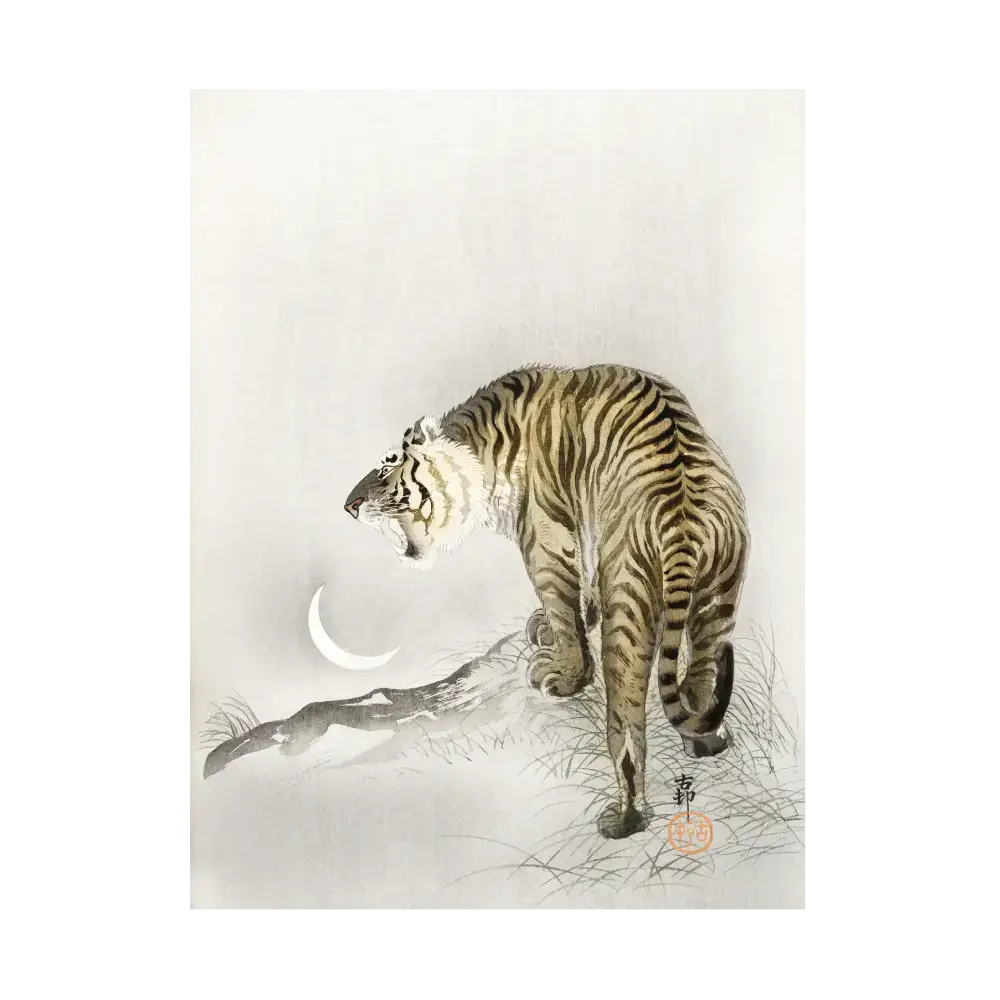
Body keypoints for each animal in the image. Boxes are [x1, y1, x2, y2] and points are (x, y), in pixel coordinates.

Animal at [344, 364, 749, 840]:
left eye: (388, 465)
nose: (349, 505)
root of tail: (681, 517)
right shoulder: (585, 523)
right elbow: (583, 585)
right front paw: (558, 623)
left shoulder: (544, 537)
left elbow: (561, 602)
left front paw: (564, 673)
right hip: (719, 593)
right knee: (702, 674)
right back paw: (706, 740)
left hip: (630, 604)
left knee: (627, 726)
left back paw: (625, 818)